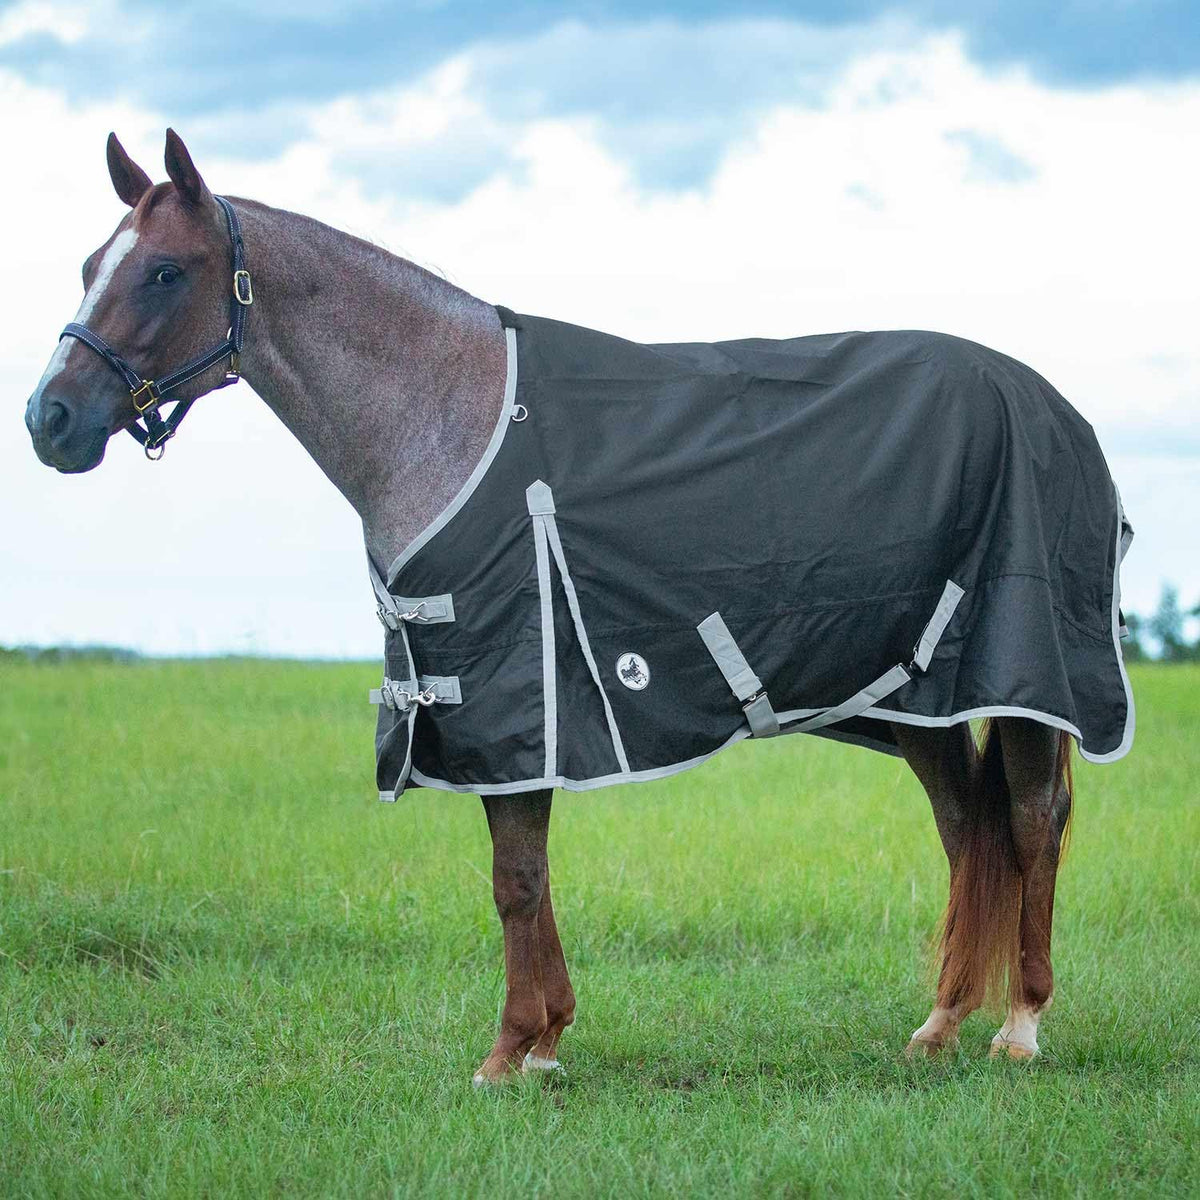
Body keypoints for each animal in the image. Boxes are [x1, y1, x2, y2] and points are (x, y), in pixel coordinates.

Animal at [25, 130, 1131, 1083]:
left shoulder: (509, 698)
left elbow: (515, 878)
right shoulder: (508, 715)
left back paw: (1021, 1026)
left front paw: (510, 1050)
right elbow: (532, 874)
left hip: (1026, 680)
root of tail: (1056, 409)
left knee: (1028, 821)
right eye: (87, 265)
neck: (449, 415)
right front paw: (548, 1039)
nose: (51, 419)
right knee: (965, 827)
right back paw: (940, 1025)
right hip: (919, 705)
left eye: (166, 271)